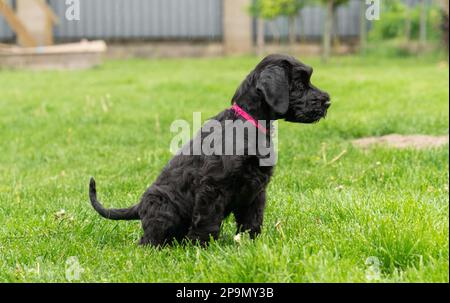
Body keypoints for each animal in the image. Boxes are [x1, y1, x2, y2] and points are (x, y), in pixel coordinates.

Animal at [89, 54, 330, 247]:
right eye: (299, 83)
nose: (327, 102)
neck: (248, 123)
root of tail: (139, 206)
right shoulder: (213, 187)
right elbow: (207, 221)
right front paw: (200, 247)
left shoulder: (257, 189)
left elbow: (253, 219)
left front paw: (251, 243)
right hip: (164, 209)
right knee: (148, 240)